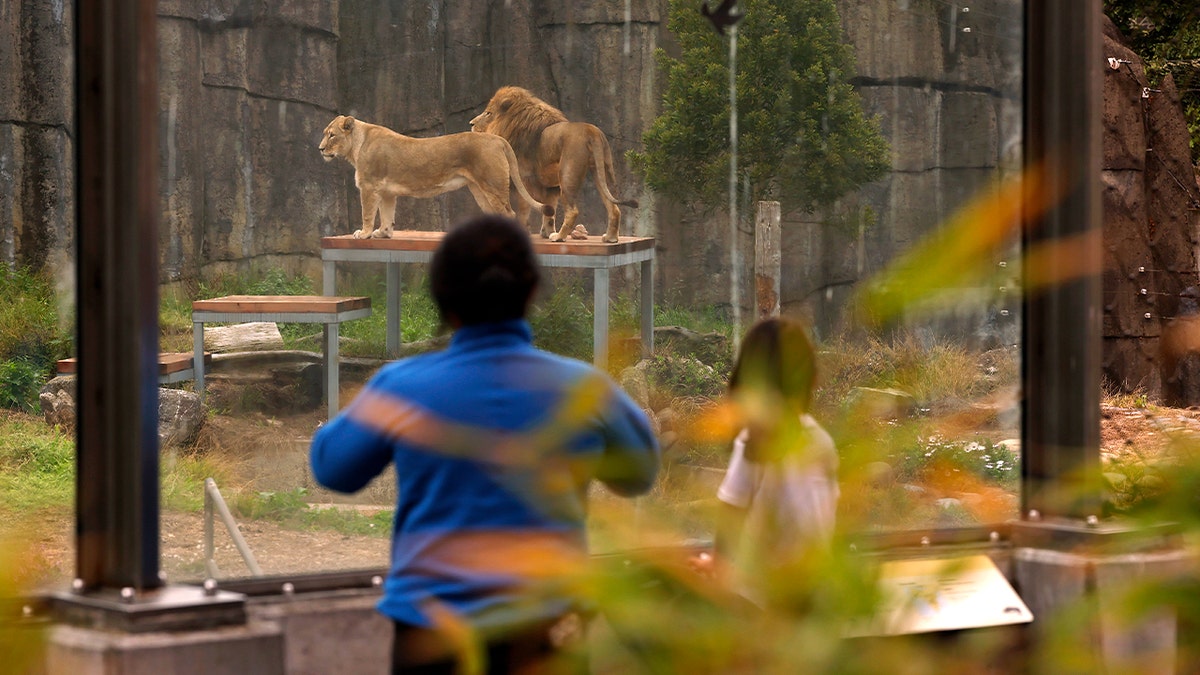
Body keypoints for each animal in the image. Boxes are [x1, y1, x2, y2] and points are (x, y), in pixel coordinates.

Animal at [319, 115, 552, 239]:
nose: (320, 149)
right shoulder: (386, 192)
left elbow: (367, 213)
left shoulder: (369, 186)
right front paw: (383, 233)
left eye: (332, 135)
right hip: (479, 189)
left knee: (509, 213)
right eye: (325, 133)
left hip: (492, 185)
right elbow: (387, 214)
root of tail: (497, 139)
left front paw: (365, 233)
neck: (356, 145)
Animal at [469, 87, 638, 243]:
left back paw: (559, 237)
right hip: (601, 171)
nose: (471, 123)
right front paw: (546, 232)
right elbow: (549, 211)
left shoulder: (524, 179)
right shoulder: (549, 187)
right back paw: (610, 238)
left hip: (567, 176)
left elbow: (524, 210)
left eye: (488, 113)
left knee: (573, 211)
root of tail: (592, 132)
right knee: (614, 208)